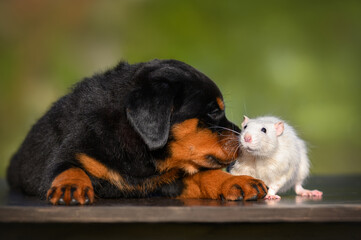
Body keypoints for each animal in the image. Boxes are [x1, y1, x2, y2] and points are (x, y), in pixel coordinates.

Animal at [6, 58, 268, 204]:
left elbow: (204, 175)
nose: (241, 137)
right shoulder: (70, 150)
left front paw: (238, 182)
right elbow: (68, 167)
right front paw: (70, 187)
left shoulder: (168, 182)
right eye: (213, 111)